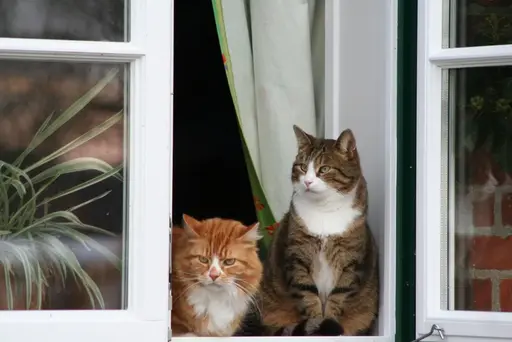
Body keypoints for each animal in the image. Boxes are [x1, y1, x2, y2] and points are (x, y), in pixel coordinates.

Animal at [258, 125, 378, 336]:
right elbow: (307, 294)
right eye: (302, 167)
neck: (324, 209)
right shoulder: (297, 256)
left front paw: (329, 323)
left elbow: (339, 296)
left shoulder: (350, 261)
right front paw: (317, 324)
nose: (307, 182)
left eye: (324, 169)